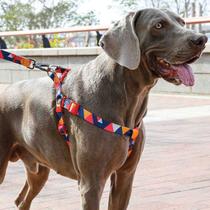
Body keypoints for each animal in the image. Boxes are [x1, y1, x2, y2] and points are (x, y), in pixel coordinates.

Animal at [0, 8, 207, 210]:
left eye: (182, 22)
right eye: (158, 25)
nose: (202, 39)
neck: (127, 95)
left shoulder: (125, 177)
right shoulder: (91, 182)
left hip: (39, 166)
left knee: (21, 200)